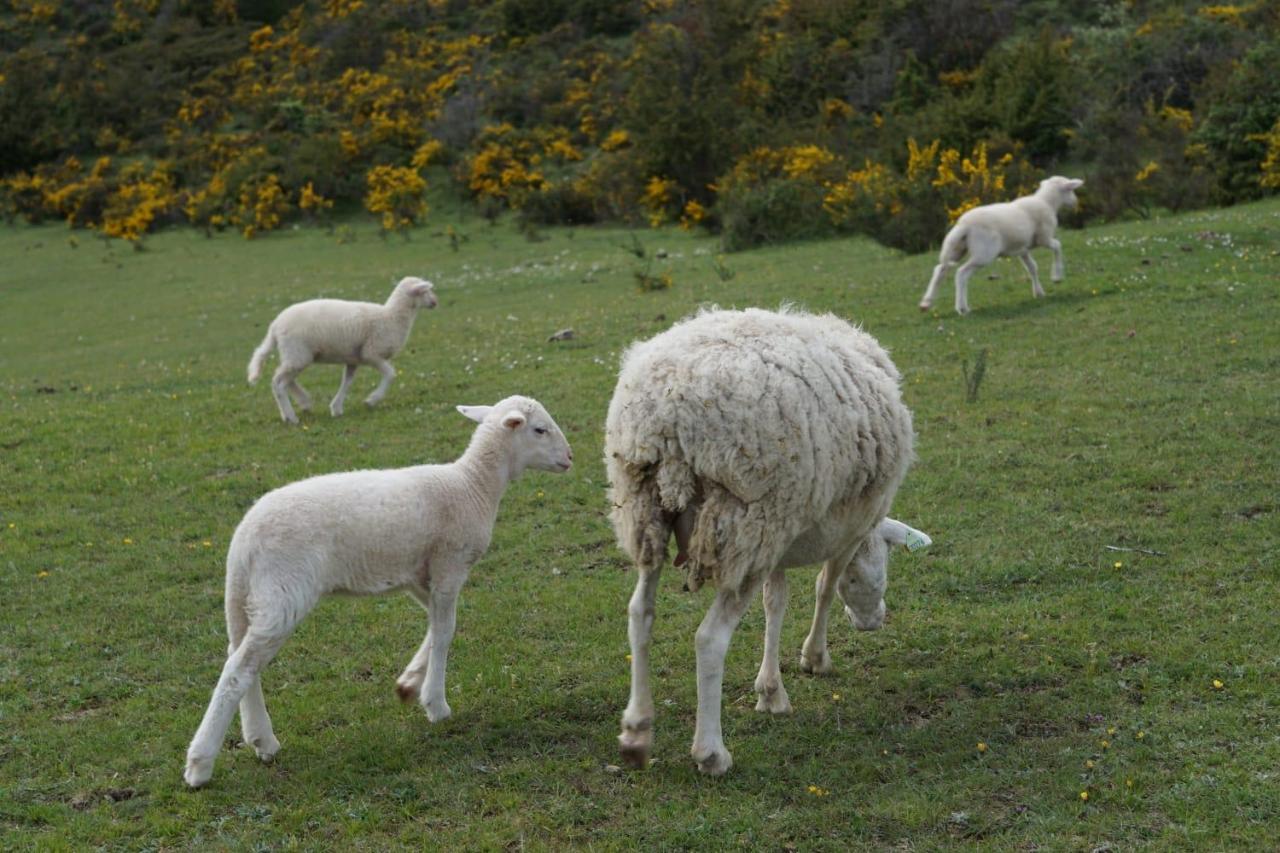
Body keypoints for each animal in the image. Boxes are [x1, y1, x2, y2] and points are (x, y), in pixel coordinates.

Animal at [183, 394, 573, 788]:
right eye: (540, 430)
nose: (570, 458)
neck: (472, 486)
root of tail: (243, 541)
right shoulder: (449, 565)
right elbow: (445, 632)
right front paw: (436, 704)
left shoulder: (420, 576)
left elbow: (437, 627)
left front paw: (409, 684)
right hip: (283, 591)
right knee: (239, 670)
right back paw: (200, 764)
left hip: (248, 599)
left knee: (241, 660)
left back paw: (261, 739)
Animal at [244, 275, 440, 422]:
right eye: (425, 291)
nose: (435, 302)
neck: (391, 317)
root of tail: (275, 326)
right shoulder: (371, 353)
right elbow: (390, 374)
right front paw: (372, 400)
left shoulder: (353, 358)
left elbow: (347, 382)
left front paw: (336, 408)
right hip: (297, 353)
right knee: (279, 382)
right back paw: (291, 417)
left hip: (295, 355)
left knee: (284, 379)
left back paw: (302, 404)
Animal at [604, 308, 916, 773]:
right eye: (883, 565)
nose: (874, 621)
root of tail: (669, 412)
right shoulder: (844, 531)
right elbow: (824, 588)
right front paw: (814, 659)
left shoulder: (778, 544)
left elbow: (776, 603)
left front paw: (770, 691)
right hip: (745, 523)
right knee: (709, 639)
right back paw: (711, 753)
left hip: (651, 518)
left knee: (640, 612)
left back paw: (637, 733)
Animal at [916, 174, 1085, 313]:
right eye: (1071, 190)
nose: (1076, 202)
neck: (1048, 202)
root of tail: (963, 225)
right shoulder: (1044, 237)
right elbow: (1057, 246)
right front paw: (1057, 277)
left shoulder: (1022, 248)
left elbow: (1032, 267)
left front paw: (1039, 292)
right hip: (984, 253)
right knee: (961, 273)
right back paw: (962, 308)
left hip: (957, 248)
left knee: (940, 269)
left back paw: (926, 303)